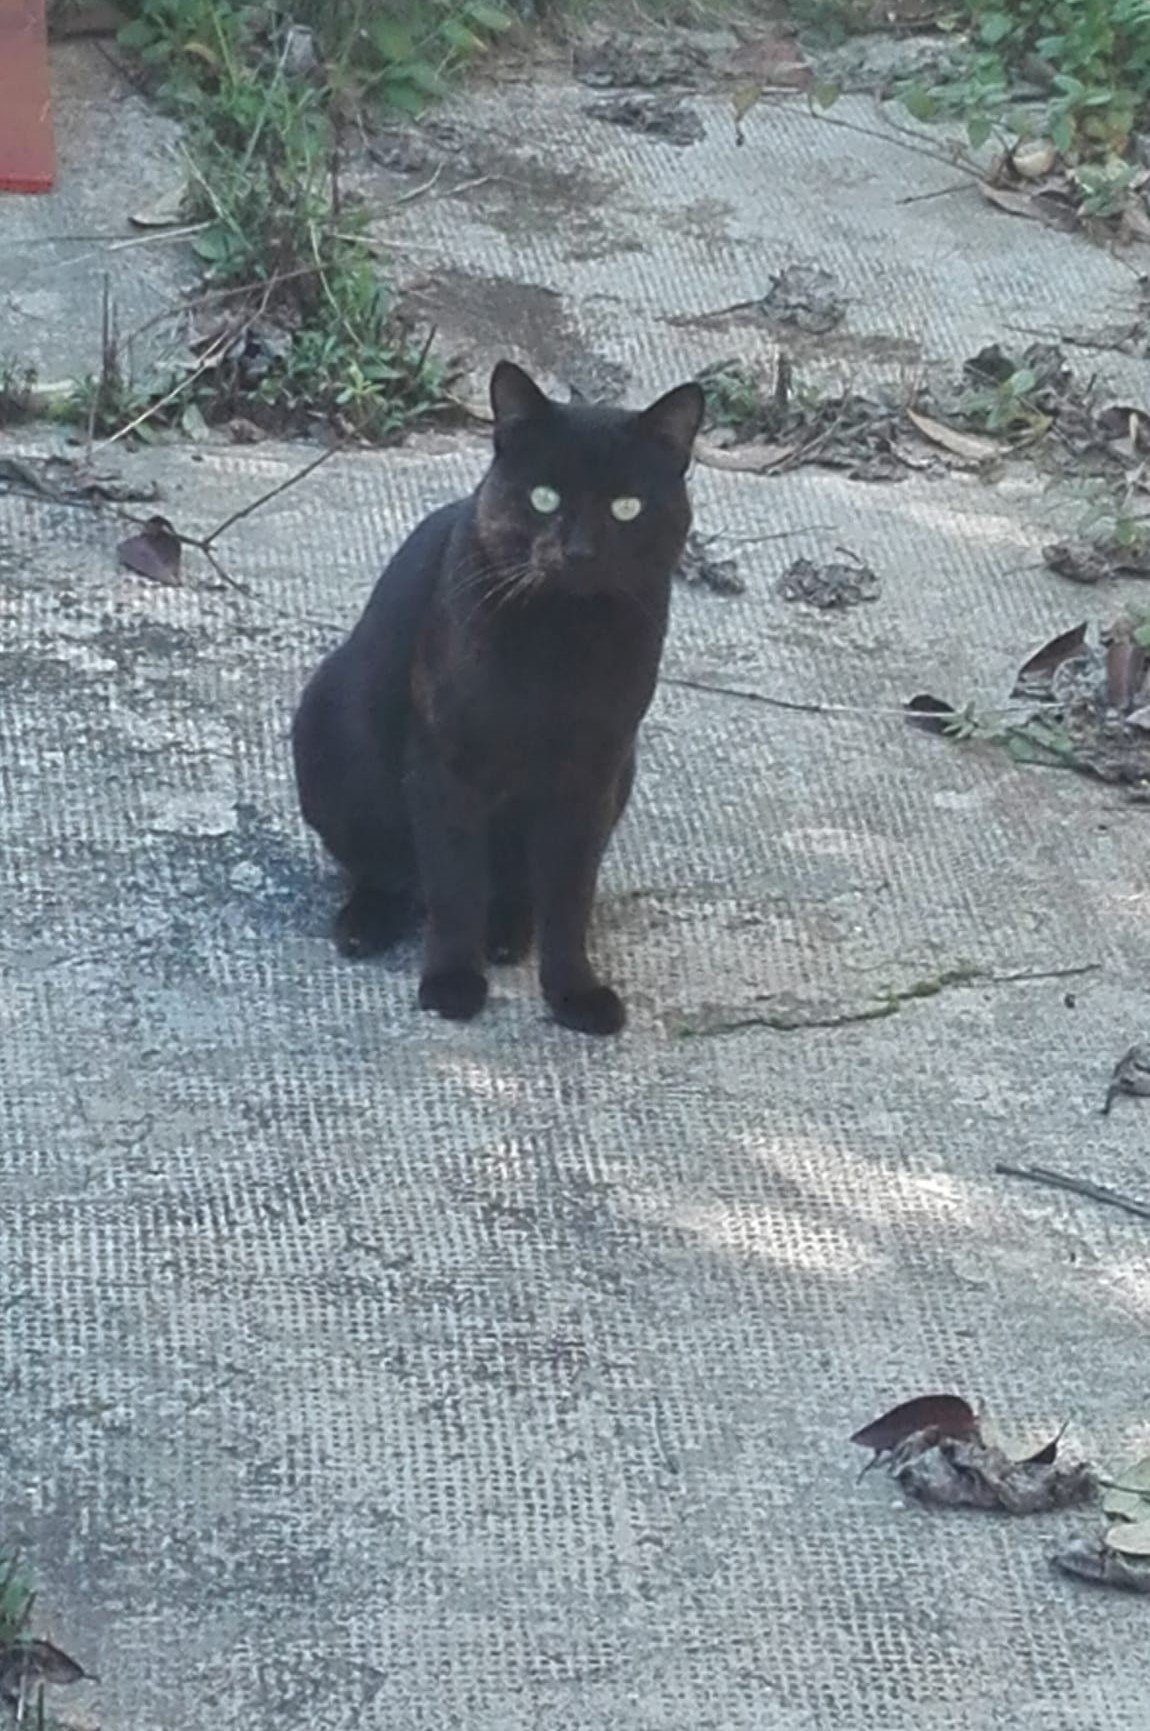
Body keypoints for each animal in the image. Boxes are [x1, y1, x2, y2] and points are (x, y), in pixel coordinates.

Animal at [291, 359, 704, 1036]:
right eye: (544, 497)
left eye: (626, 507)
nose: (579, 552)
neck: (561, 644)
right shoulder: (446, 766)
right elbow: (455, 884)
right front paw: (452, 984)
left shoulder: (591, 776)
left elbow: (568, 896)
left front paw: (574, 993)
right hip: (328, 725)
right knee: (390, 869)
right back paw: (367, 923)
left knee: (516, 887)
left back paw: (507, 933)